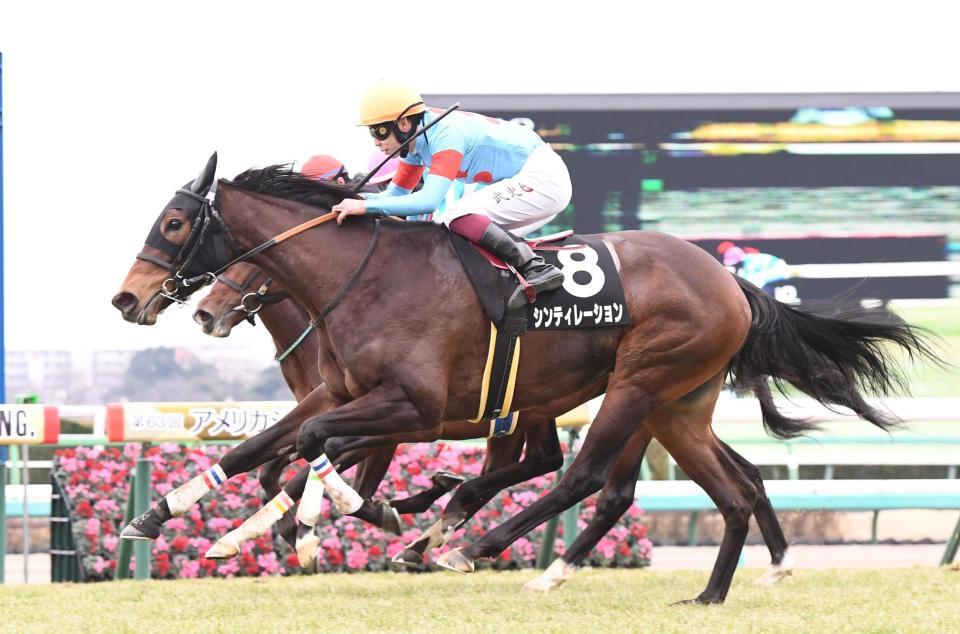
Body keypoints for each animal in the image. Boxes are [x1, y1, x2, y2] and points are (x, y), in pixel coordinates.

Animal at [113, 155, 938, 603]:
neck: (364, 276)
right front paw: (170, 518)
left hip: (637, 384)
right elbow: (262, 451)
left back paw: (481, 549)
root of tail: (728, 279)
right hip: (676, 404)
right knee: (732, 487)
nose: (129, 299)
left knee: (589, 479)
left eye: (176, 224)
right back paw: (712, 591)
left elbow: (315, 452)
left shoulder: (412, 406)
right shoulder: (348, 394)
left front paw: (331, 522)